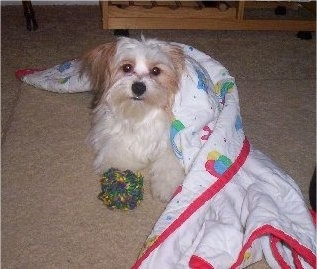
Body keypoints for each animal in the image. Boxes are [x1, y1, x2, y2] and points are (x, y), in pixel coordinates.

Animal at [79, 37, 186, 201]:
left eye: (156, 71)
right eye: (127, 67)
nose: (139, 87)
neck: (140, 115)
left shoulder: (171, 141)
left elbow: (169, 162)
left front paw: (165, 187)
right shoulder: (112, 134)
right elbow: (116, 153)